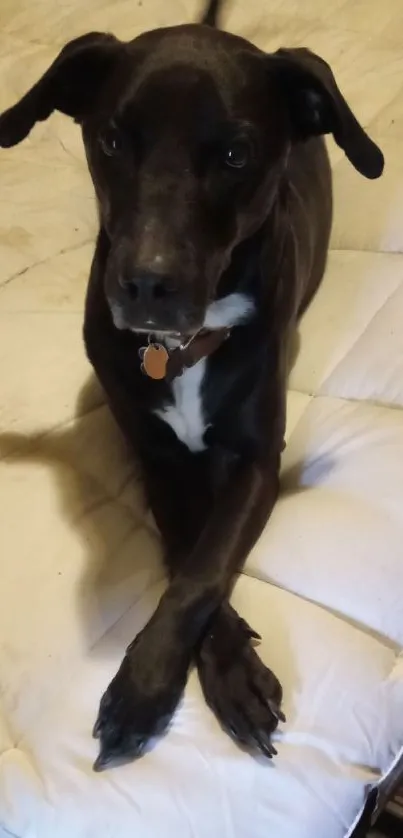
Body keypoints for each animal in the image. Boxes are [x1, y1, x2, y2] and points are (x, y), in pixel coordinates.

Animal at [0, 0, 386, 776]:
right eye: (111, 140)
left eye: (236, 155)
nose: (146, 285)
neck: (183, 350)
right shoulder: (155, 461)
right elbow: (187, 555)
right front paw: (213, 667)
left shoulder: (258, 460)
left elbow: (205, 568)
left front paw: (150, 689)